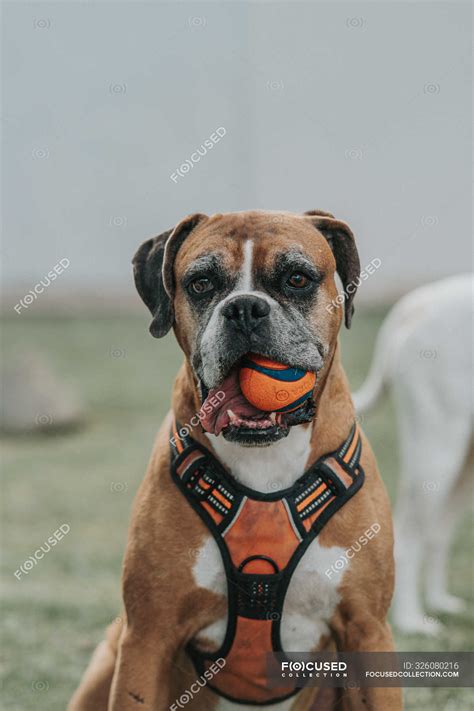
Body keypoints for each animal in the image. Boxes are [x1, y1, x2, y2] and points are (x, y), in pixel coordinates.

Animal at [68, 211, 402, 711]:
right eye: (202, 283)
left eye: (297, 279)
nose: (244, 308)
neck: (264, 460)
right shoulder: (146, 639)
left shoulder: (368, 632)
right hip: (110, 654)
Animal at [354, 274, 472, 636]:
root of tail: (421, 301)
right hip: (437, 455)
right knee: (409, 539)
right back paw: (412, 622)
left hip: (461, 466)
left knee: (437, 534)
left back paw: (439, 602)